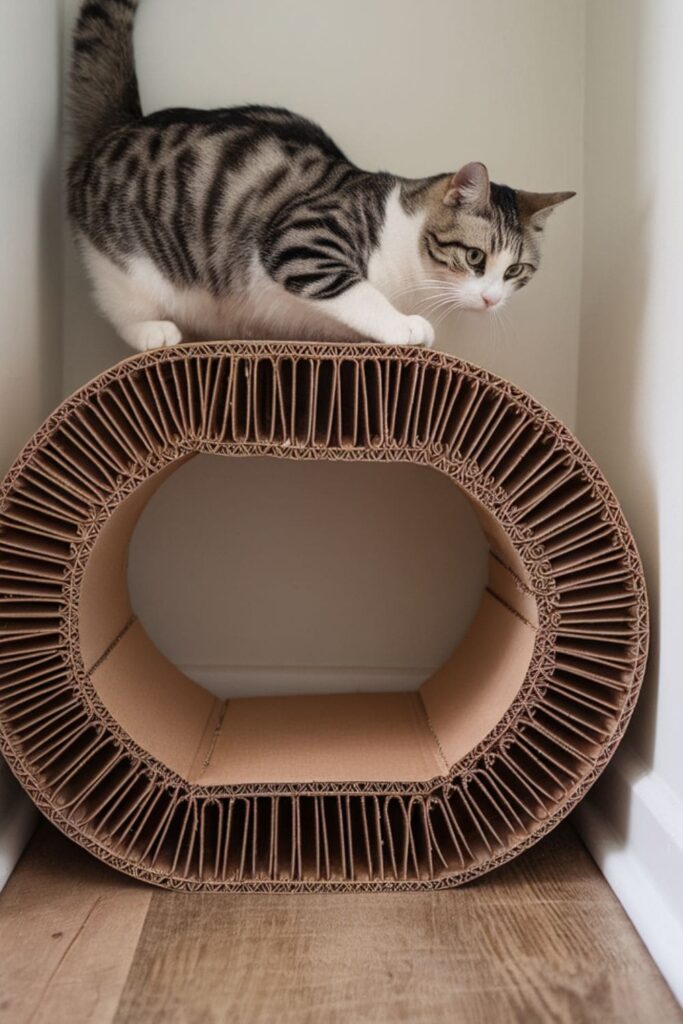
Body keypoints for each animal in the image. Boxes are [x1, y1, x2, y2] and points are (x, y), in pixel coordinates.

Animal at [69, 0, 573, 354]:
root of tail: (122, 124)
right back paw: (152, 331)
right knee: (120, 303)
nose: (491, 299)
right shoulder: (304, 238)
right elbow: (358, 292)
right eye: (474, 257)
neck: (414, 278)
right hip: (127, 263)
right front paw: (403, 325)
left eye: (515, 271)